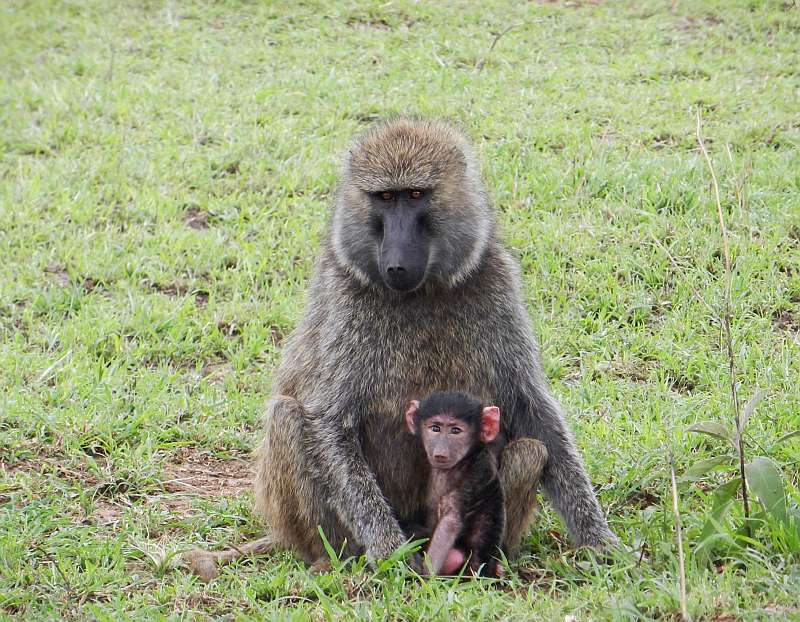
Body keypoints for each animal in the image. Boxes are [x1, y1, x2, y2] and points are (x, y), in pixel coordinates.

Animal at [405, 392, 505, 578]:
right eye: (435, 428)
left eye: (456, 430)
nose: (441, 452)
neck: (465, 459)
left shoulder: (474, 476)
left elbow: (450, 524)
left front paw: (425, 578)